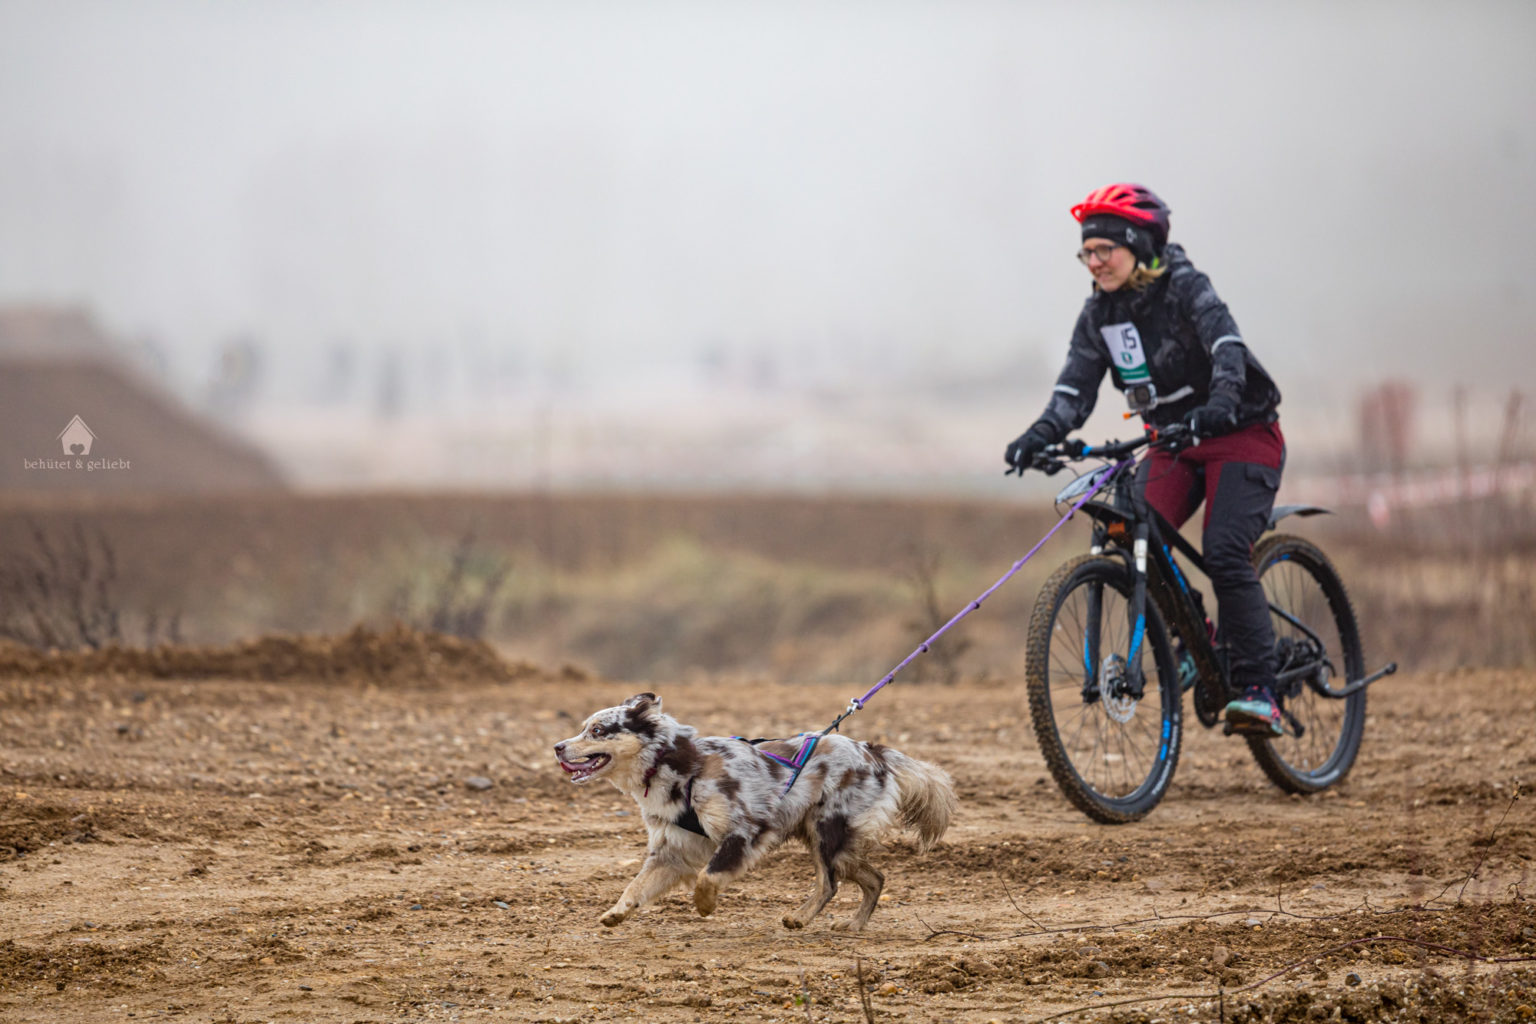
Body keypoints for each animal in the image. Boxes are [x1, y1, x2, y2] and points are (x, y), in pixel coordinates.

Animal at [552, 693, 958, 933]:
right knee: (874, 878)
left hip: (827, 831)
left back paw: (800, 917)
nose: (557, 746)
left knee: (829, 883)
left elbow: (708, 875)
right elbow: (636, 884)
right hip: (826, 838)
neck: (682, 767)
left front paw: (704, 905)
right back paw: (853, 924)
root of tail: (873, 751)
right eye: (583, 728)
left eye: (597, 730)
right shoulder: (672, 850)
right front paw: (618, 911)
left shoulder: (747, 830)